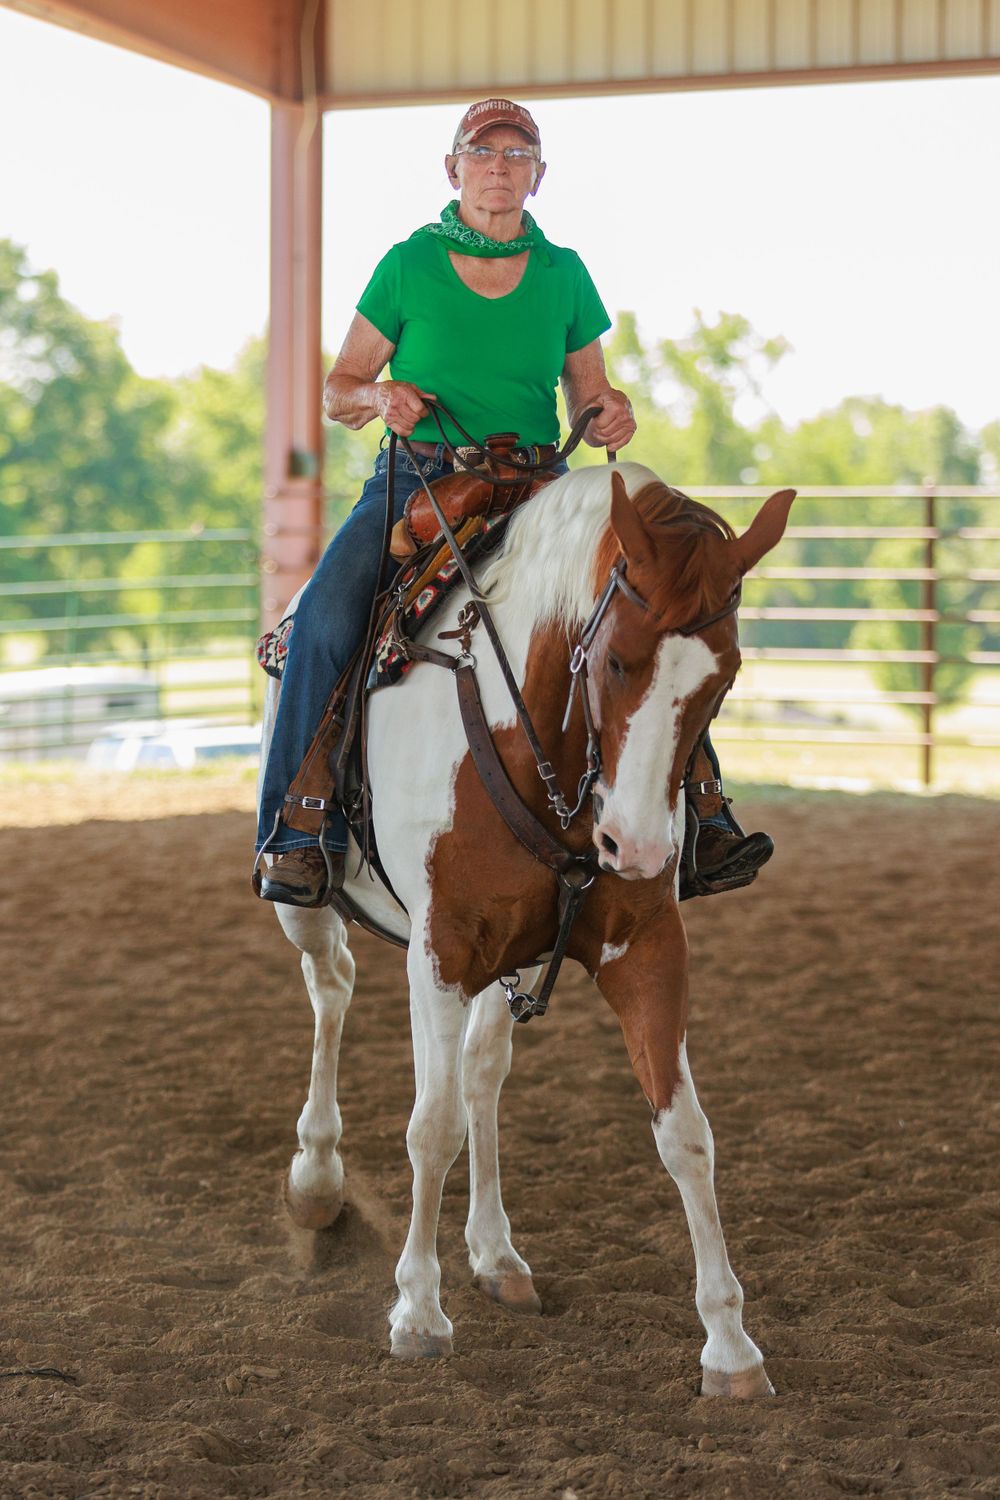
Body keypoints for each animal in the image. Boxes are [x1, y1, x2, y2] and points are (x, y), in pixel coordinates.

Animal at [257, 460, 795, 1396]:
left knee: (481, 1073)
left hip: (500, 963)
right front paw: (417, 1313)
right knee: (332, 992)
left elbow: (686, 1135)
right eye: (615, 659)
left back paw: (496, 1254)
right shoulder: (439, 952)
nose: (637, 847)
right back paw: (317, 1178)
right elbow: (429, 1127)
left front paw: (731, 1347)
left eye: (723, 680)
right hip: (307, 906)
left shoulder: (645, 947)